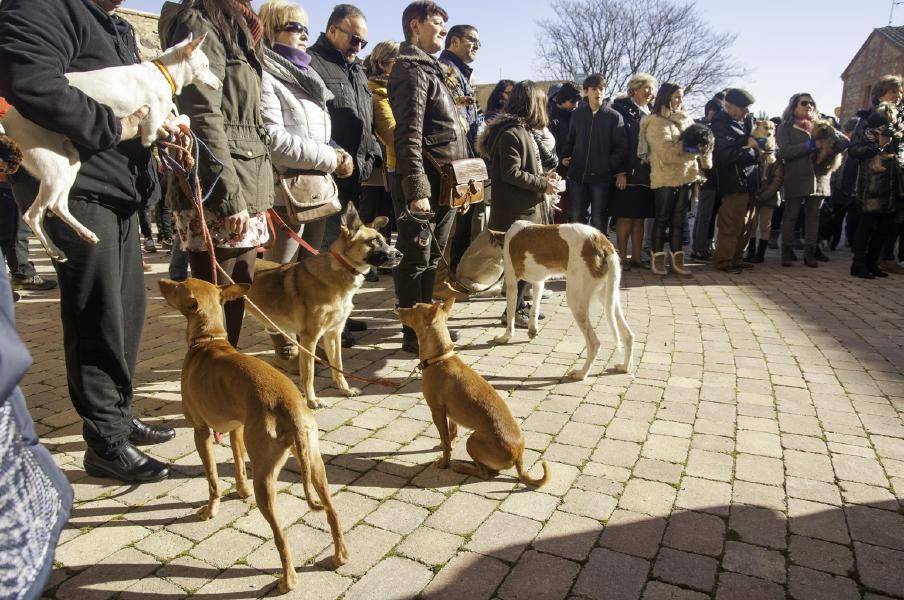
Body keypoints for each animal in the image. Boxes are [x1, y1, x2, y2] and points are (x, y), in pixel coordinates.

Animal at [0, 33, 219, 262]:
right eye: (206, 65)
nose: (219, 83)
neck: (161, 74)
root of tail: (6, 122)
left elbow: (179, 119)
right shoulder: (149, 132)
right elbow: (182, 118)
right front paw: (179, 131)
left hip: (68, 162)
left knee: (49, 208)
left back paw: (78, 237)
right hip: (55, 168)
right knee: (37, 213)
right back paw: (59, 246)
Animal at [159, 278, 350, 592]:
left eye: (178, 285)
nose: (161, 281)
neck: (209, 341)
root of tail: (291, 407)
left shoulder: (201, 431)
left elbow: (212, 479)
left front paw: (210, 510)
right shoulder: (236, 429)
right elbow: (237, 465)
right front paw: (240, 491)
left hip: (266, 478)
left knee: (281, 535)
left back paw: (287, 580)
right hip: (315, 465)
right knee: (332, 512)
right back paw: (340, 557)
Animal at [247, 205, 402, 408]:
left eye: (383, 239)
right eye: (373, 241)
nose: (400, 255)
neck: (340, 271)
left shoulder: (333, 334)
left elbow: (338, 366)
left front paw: (345, 389)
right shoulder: (309, 338)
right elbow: (308, 374)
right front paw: (311, 400)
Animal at [398, 300, 552, 488]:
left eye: (414, 308)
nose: (397, 307)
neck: (440, 358)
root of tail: (518, 457)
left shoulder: (437, 411)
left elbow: (445, 440)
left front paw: (444, 462)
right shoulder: (451, 414)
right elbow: (452, 433)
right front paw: (451, 444)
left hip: (472, 440)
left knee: (484, 473)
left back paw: (461, 467)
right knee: (488, 469)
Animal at [488, 220, 636, 380]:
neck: (507, 237)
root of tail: (603, 243)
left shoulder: (511, 285)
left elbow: (510, 316)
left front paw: (505, 337)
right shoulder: (538, 282)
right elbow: (534, 309)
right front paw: (532, 330)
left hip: (576, 301)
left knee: (594, 344)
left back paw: (581, 374)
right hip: (608, 298)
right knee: (628, 335)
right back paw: (624, 367)